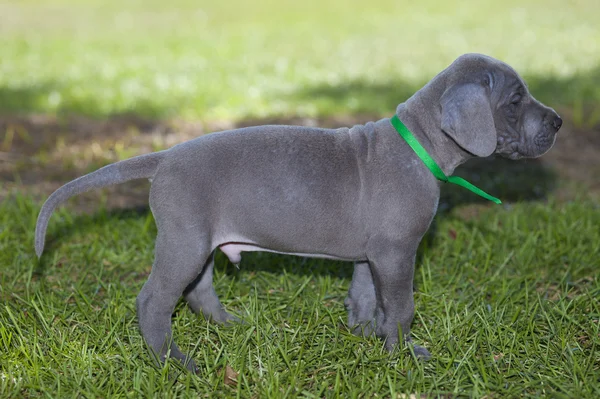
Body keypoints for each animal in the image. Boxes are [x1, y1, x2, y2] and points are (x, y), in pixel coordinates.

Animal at [34, 53, 564, 372]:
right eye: (516, 99)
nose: (559, 121)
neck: (421, 143)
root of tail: (163, 157)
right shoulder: (397, 252)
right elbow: (402, 307)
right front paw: (405, 355)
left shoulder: (372, 253)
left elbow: (364, 295)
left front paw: (364, 335)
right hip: (183, 239)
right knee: (154, 301)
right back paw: (175, 363)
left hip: (198, 239)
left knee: (198, 291)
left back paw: (231, 327)